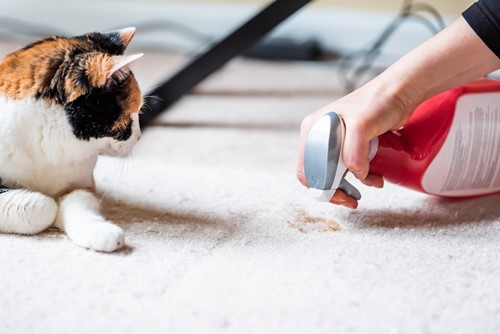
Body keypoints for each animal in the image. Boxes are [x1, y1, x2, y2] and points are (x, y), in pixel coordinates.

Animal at [0, 28, 143, 250]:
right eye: (130, 114)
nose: (139, 135)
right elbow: (43, 207)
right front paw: (48, 206)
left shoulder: (81, 184)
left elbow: (79, 204)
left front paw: (102, 233)